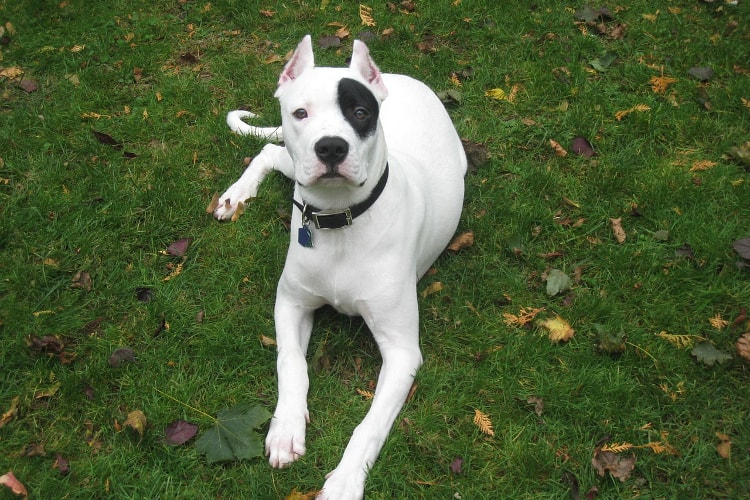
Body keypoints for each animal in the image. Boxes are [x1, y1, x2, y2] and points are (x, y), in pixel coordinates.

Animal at [214, 36, 468, 500]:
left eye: (360, 113)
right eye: (301, 113)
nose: (331, 147)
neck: (340, 221)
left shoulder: (402, 352)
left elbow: (370, 426)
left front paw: (346, 480)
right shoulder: (290, 303)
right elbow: (291, 364)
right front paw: (285, 428)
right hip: (294, 164)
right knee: (271, 150)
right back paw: (236, 194)